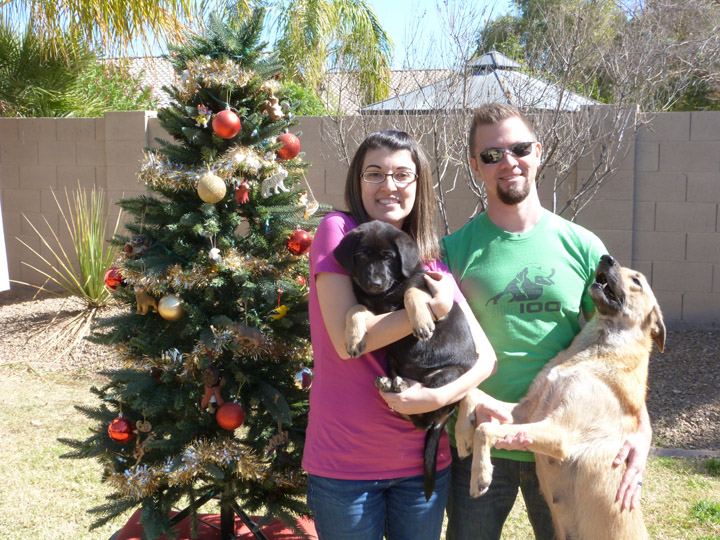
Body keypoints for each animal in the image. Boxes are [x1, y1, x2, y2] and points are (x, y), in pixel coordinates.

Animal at [336, 218, 480, 498]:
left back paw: (401, 387)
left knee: (424, 415)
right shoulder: (372, 309)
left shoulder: (426, 289)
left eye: (388, 257)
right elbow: (354, 308)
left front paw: (422, 321)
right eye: (362, 255)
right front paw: (353, 338)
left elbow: (411, 292)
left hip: (446, 377)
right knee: (414, 417)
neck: (384, 296)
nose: (374, 282)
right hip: (393, 362)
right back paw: (390, 384)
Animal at [456, 256, 664, 540]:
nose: (606, 258)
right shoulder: (527, 411)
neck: (593, 351)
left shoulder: (559, 432)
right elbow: (471, 394)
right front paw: (462, 435)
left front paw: (480, 474)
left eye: (636, 281)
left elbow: (485, 429)